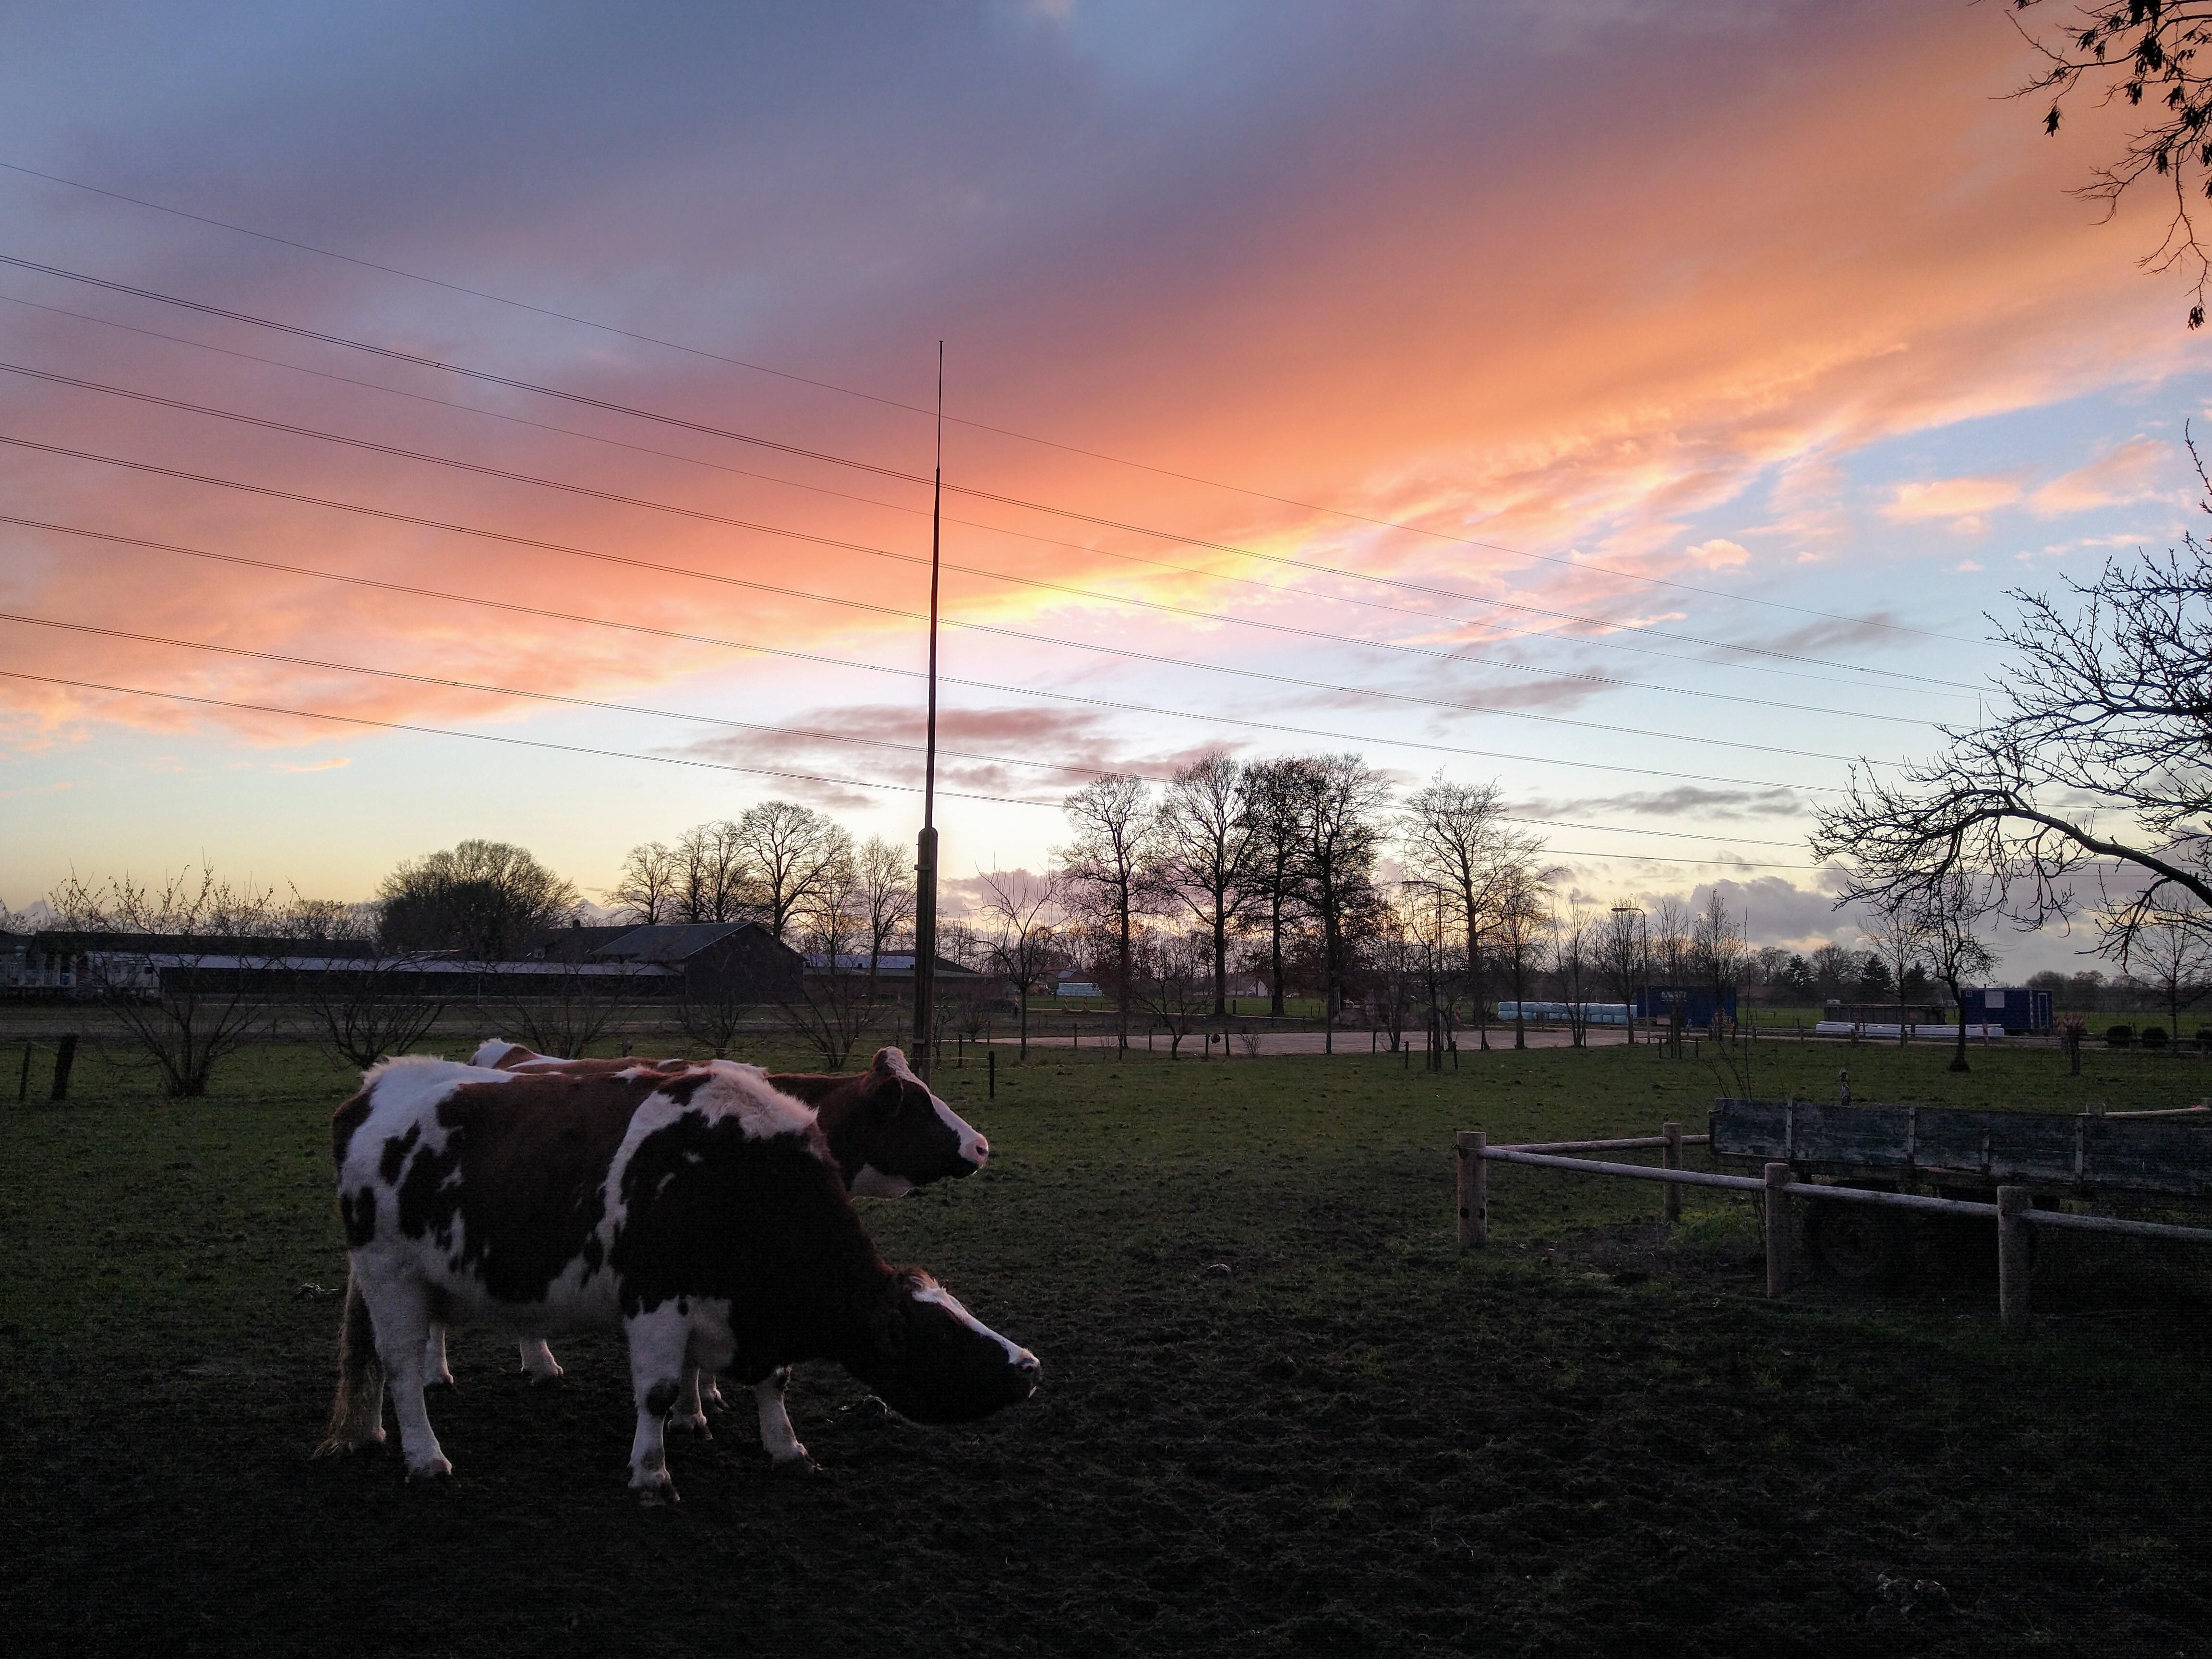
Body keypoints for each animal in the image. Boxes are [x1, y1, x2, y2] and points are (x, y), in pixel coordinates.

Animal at [316, 1066, 1039, 1504]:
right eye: (938, 1335)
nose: (1030, 1365)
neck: (734, 1174)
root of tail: (376, 1084)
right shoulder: (656, 1297)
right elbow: (659, 1392)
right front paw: (652, 1473)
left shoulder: (740, 1310)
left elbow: (773, 1382)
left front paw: (787, 1447)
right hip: (391, 1275)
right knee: (400, 1367)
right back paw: (425, 1457)